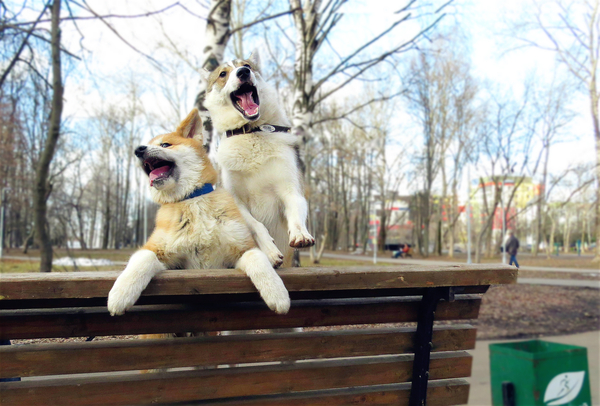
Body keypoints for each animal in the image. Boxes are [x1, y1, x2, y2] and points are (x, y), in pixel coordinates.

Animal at [107, 108, 290, 316]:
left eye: (165, 144)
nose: (138, 150)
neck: (192, 200)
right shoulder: (161, 253)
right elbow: (141, 259)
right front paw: (120, 294)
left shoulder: (241, 249)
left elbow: (258, 260)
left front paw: (277, 293)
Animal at [202, 51, 314, 267]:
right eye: (223, 74)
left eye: (247, 66)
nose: (243, 72)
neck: (251, 131)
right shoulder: (236, 201)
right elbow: (256, 225)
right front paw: (269, 251)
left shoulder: (291, 189)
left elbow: (296, 213)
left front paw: (300, 235)